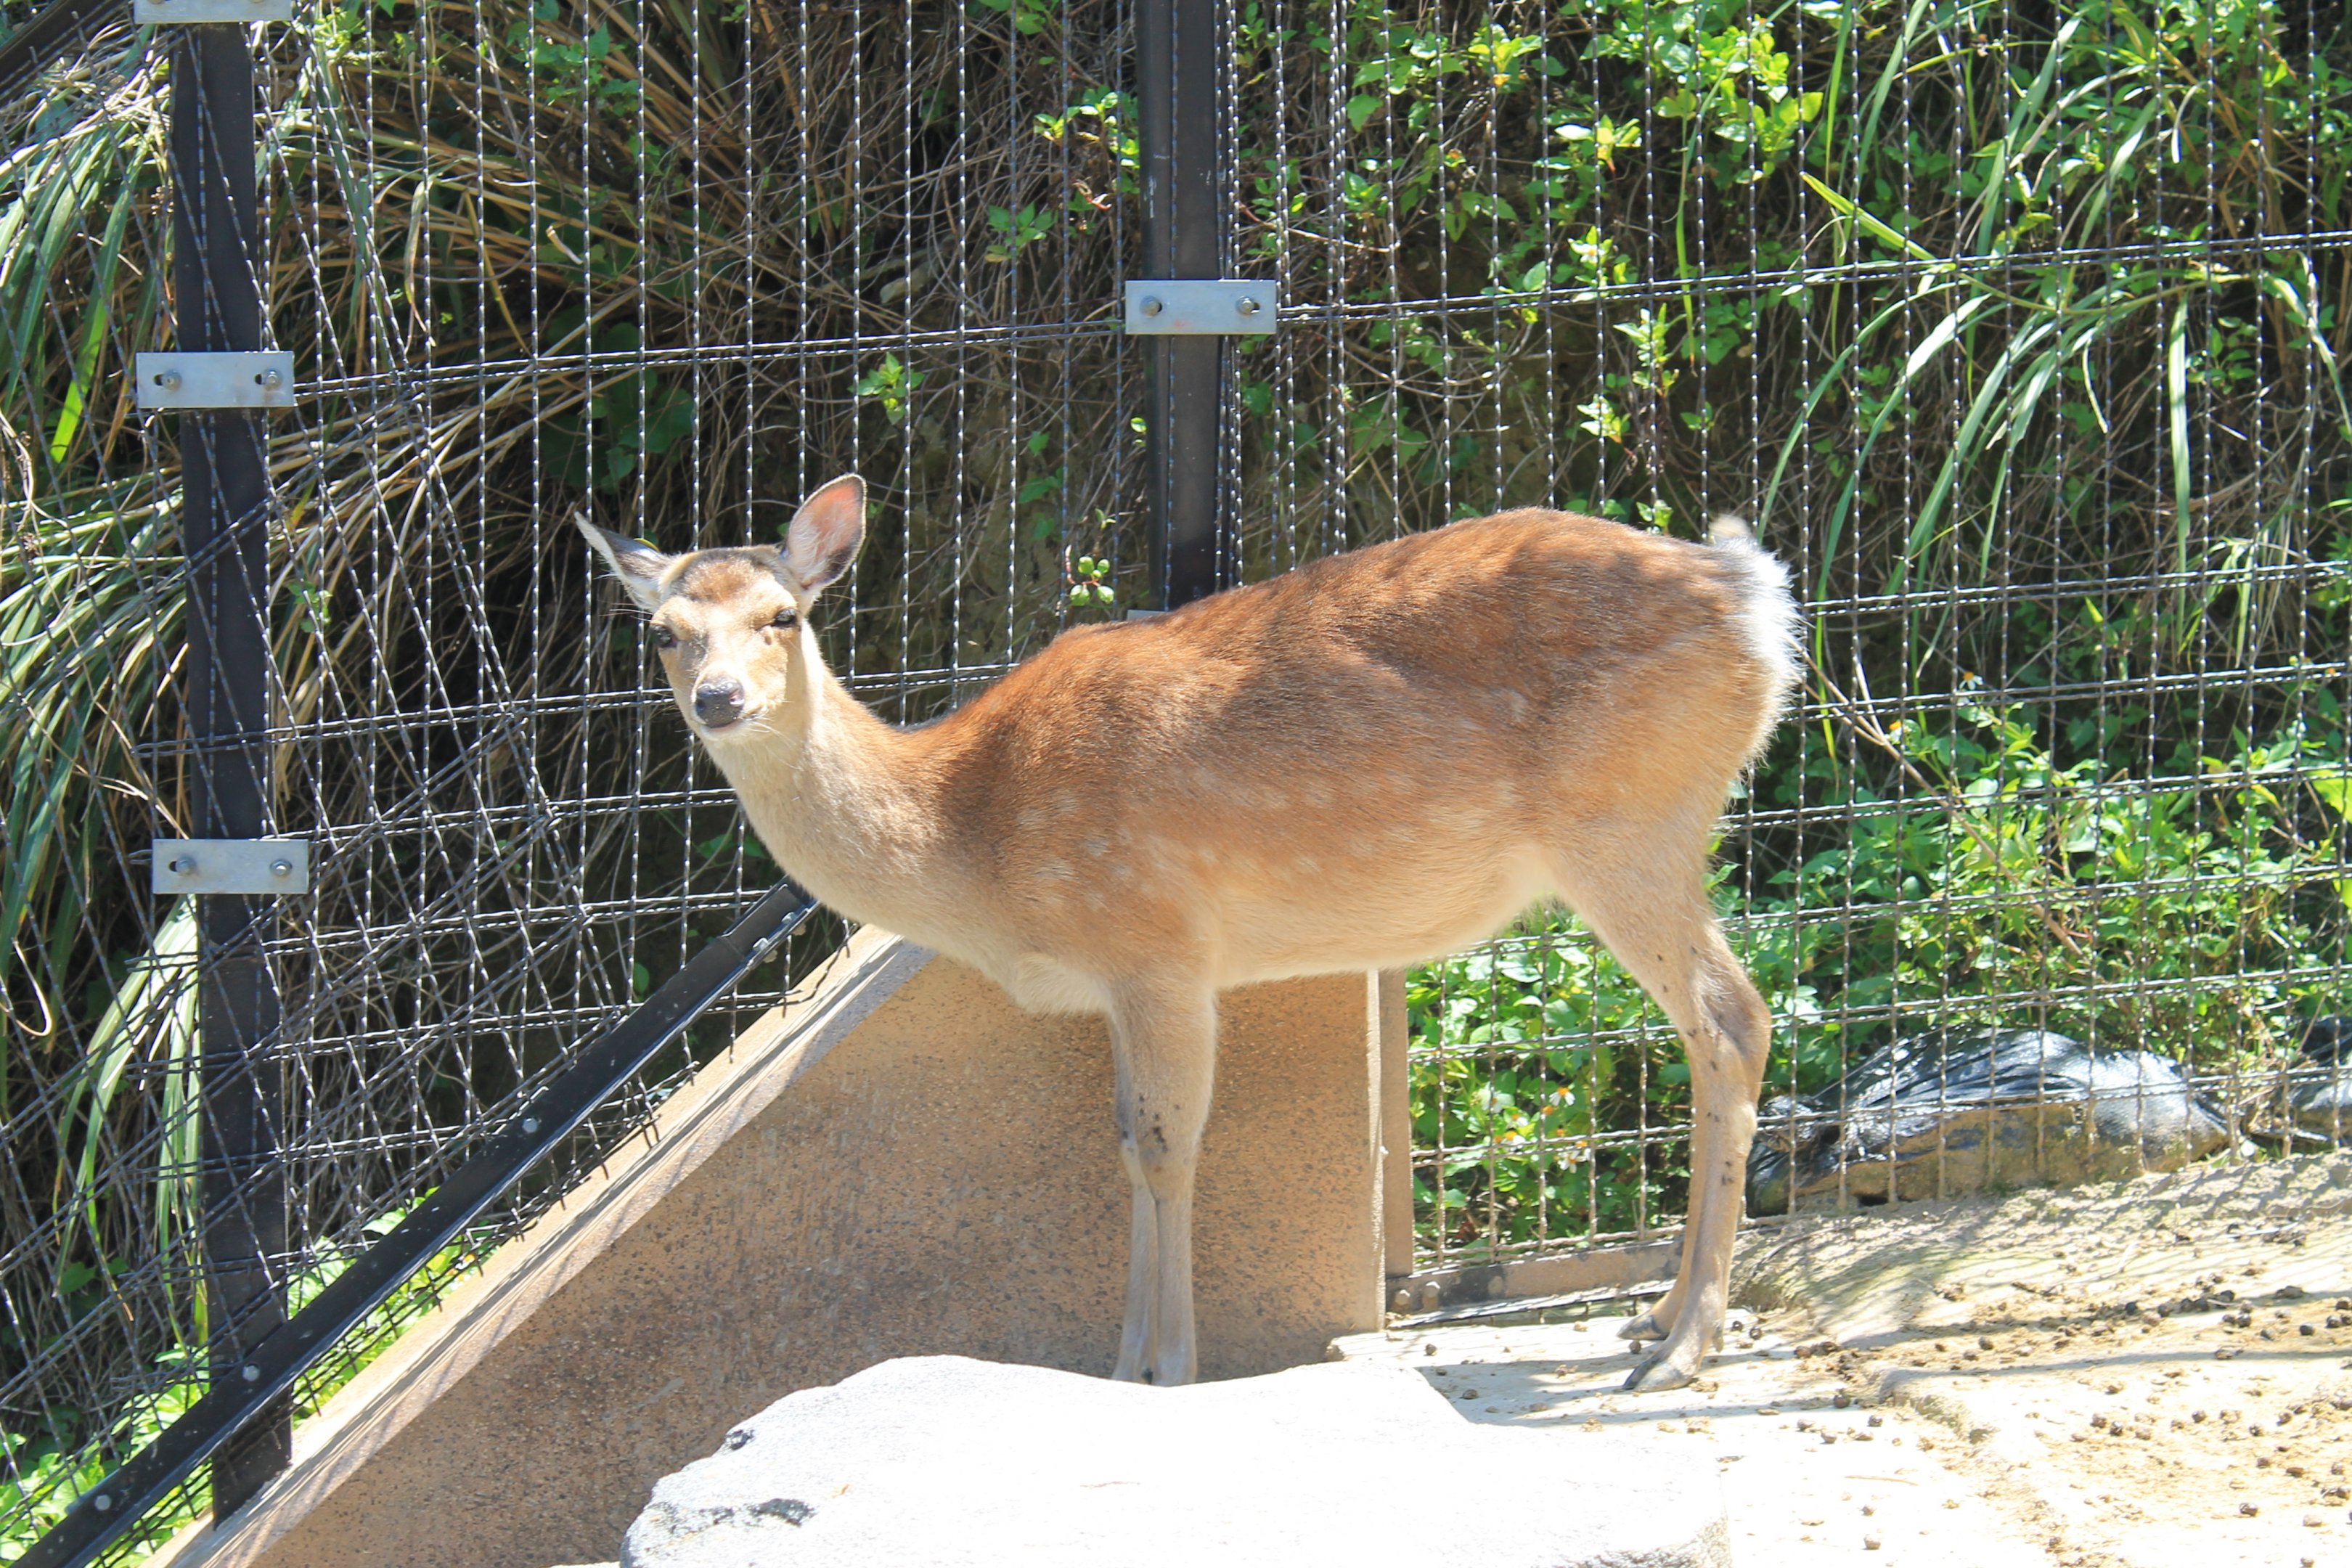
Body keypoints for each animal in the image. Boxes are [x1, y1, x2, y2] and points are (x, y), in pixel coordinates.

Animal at [579, 474, 1801, 1392]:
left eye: (782, 617)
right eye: (663, 631)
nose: (722, 699)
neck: (971, 837)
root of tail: (1759, 599)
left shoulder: (1157, 941)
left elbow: (1168, 1149)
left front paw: (1166, 1367)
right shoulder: (1120, 981)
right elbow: (1125, 1143)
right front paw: (1123, 1364)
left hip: (1629, 822)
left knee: (1735, 1018)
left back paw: (1686, 1345)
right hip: (1654, 830)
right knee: (1715, 1029)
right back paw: (1659, 1321)